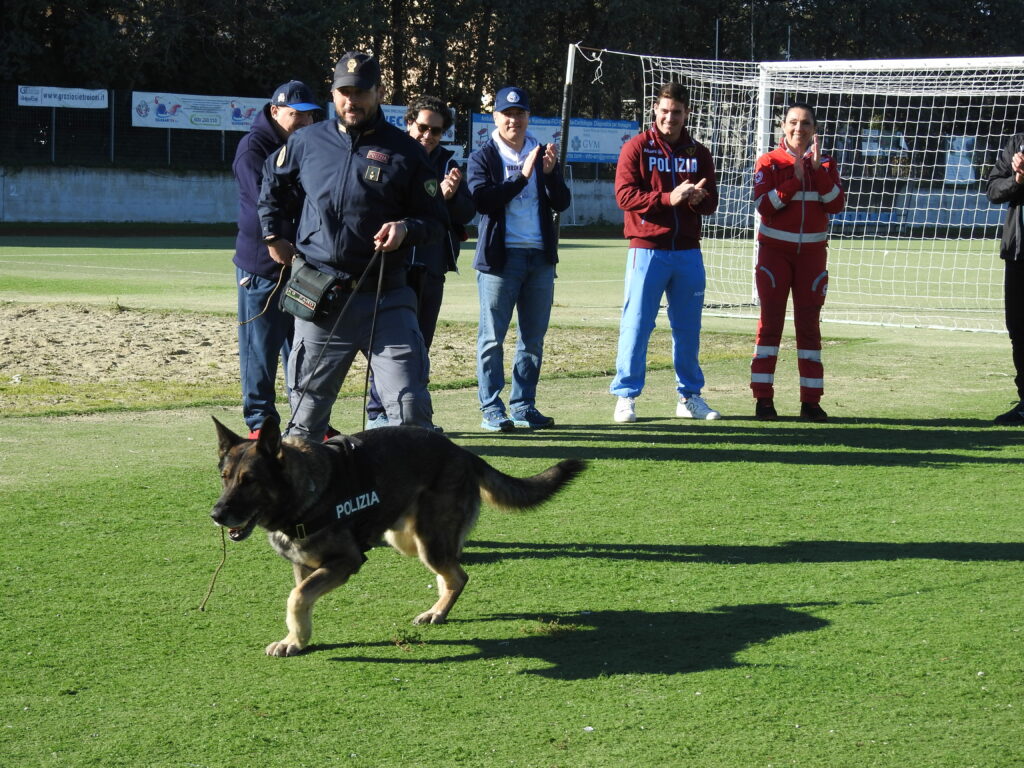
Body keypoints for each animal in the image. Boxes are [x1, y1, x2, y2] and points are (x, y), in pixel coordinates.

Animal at [211, 417, 589, 659]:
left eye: (250, 481)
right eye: (225, 477)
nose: (216, 514)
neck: (303, 492)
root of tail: (462, 452)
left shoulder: (345, 562)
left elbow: (296, 597)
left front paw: (296, 638)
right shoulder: (305, 566)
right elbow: (300, 601)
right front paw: (296, 639)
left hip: (427, 541)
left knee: (457, 574)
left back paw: (438, 612)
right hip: (408, 539)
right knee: (450, 573)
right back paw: (438, 609)